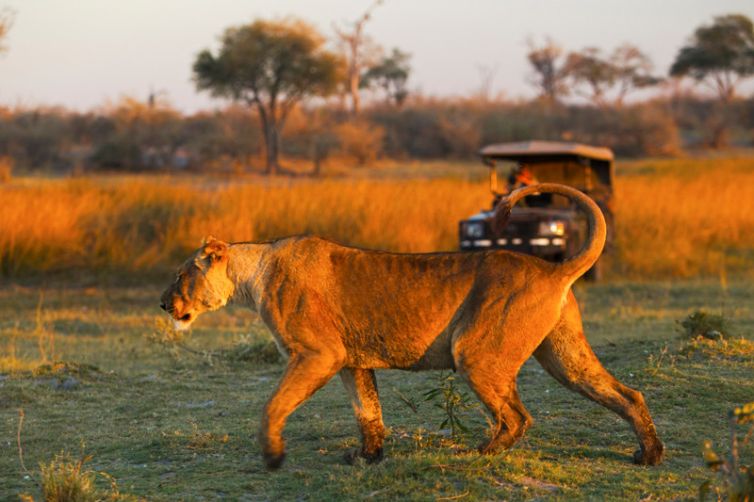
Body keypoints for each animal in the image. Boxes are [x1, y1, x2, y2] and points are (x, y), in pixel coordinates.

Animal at [160, 183, 664, 470]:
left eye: (181, 274)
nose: (163, 303)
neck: (256, 272)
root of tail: (553, 268)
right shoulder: (351, 361)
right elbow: (368, 413)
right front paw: (368, 458)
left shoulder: (318, 354)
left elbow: (272, 406)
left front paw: (272, 455)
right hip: (564, 356)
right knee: (627, 393)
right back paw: (649, 455)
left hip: (475, 352)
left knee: (517, 416)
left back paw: (477, 454)